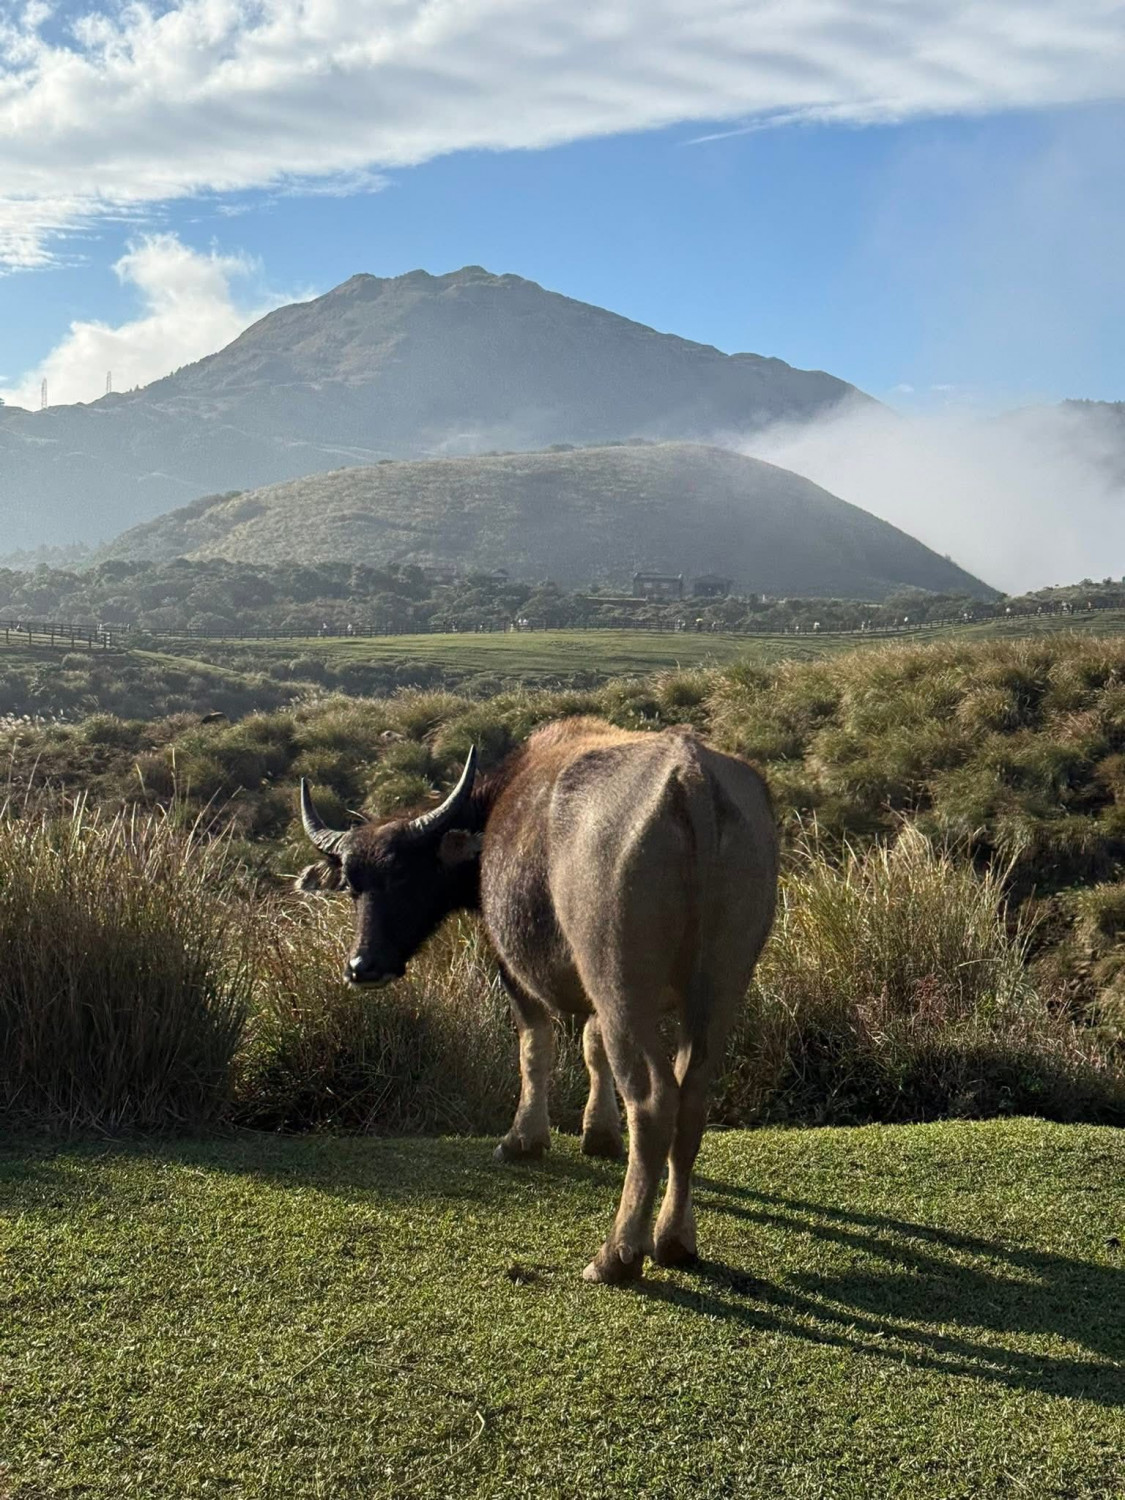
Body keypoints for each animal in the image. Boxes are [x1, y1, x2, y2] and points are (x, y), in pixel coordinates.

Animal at [299, 716, 778, 1283]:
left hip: (623, 988)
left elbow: (535, 1047)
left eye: (403, 875)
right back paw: (675, 1239)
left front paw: (523, 1139)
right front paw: (599, 1134)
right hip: (718, 990)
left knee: (655, 1101)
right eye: (353, 884)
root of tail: (692, 779)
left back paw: (616, 1255)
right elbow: (591, 1048)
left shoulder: (512, 969)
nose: (363, 967)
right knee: (694, 1097)